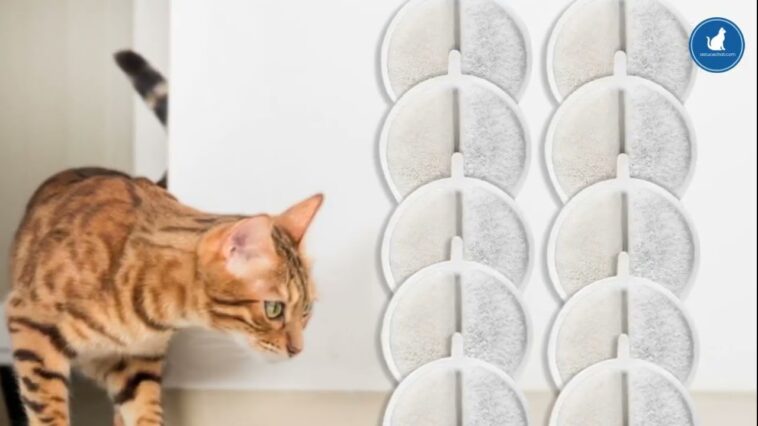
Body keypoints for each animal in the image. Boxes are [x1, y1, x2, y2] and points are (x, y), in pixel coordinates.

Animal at [5, 51, 323, 426]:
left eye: (307, 310)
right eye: (274, 309)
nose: (297, 350)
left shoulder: (138, 361)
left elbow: (144, 411)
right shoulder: (30, 324)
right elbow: (48, 410)